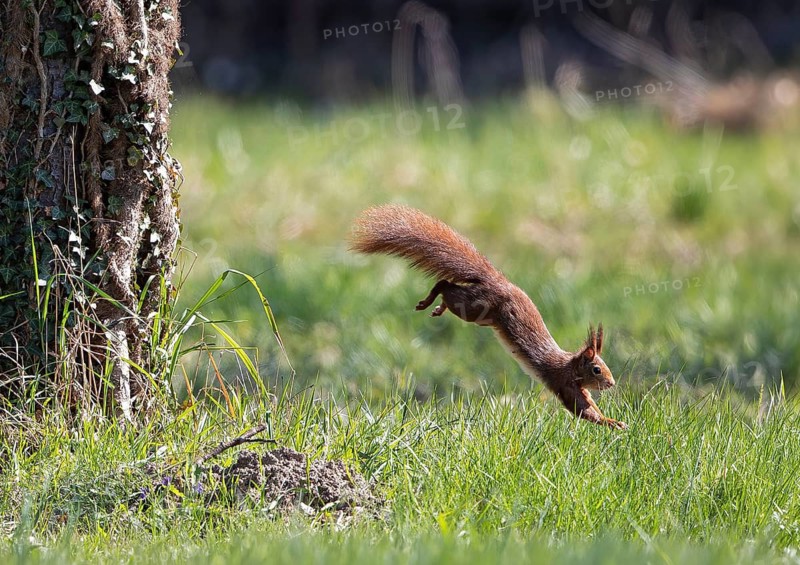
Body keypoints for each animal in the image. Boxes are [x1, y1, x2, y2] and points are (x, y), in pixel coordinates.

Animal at [350, 204, 627, 429]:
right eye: (596, 370)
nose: (612, 383)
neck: (569, 366)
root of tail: (496, 279)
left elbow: (590, 407)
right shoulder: (563, 383)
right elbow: (584, 412)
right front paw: (613, 423)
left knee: (448, 287)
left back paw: (437, 307)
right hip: (475, 308)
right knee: (445, 285)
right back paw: (430, 301)